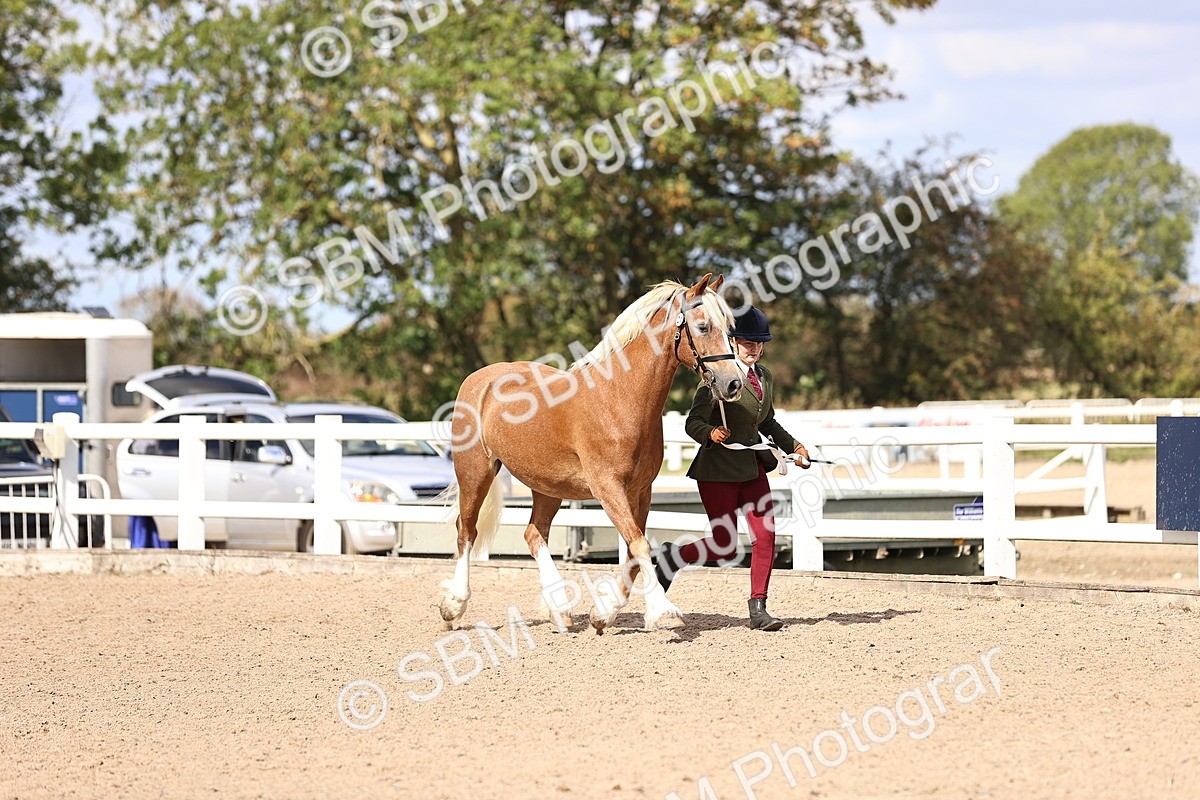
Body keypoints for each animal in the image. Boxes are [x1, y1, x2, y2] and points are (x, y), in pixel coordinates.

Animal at [438, 273, 745, 633]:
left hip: (547, 486)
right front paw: (662, 611)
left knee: (534, 534)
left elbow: (633, 550)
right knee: (466, 531)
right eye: (703, 326)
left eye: (729, 328)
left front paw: (604, 613)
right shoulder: (608, 488)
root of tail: (479, 379)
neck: (620, 397)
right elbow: (639, 544)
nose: (734, 384)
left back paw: (559, 610)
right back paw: (454, 606)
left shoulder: (641, 491)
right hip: (475, 472)